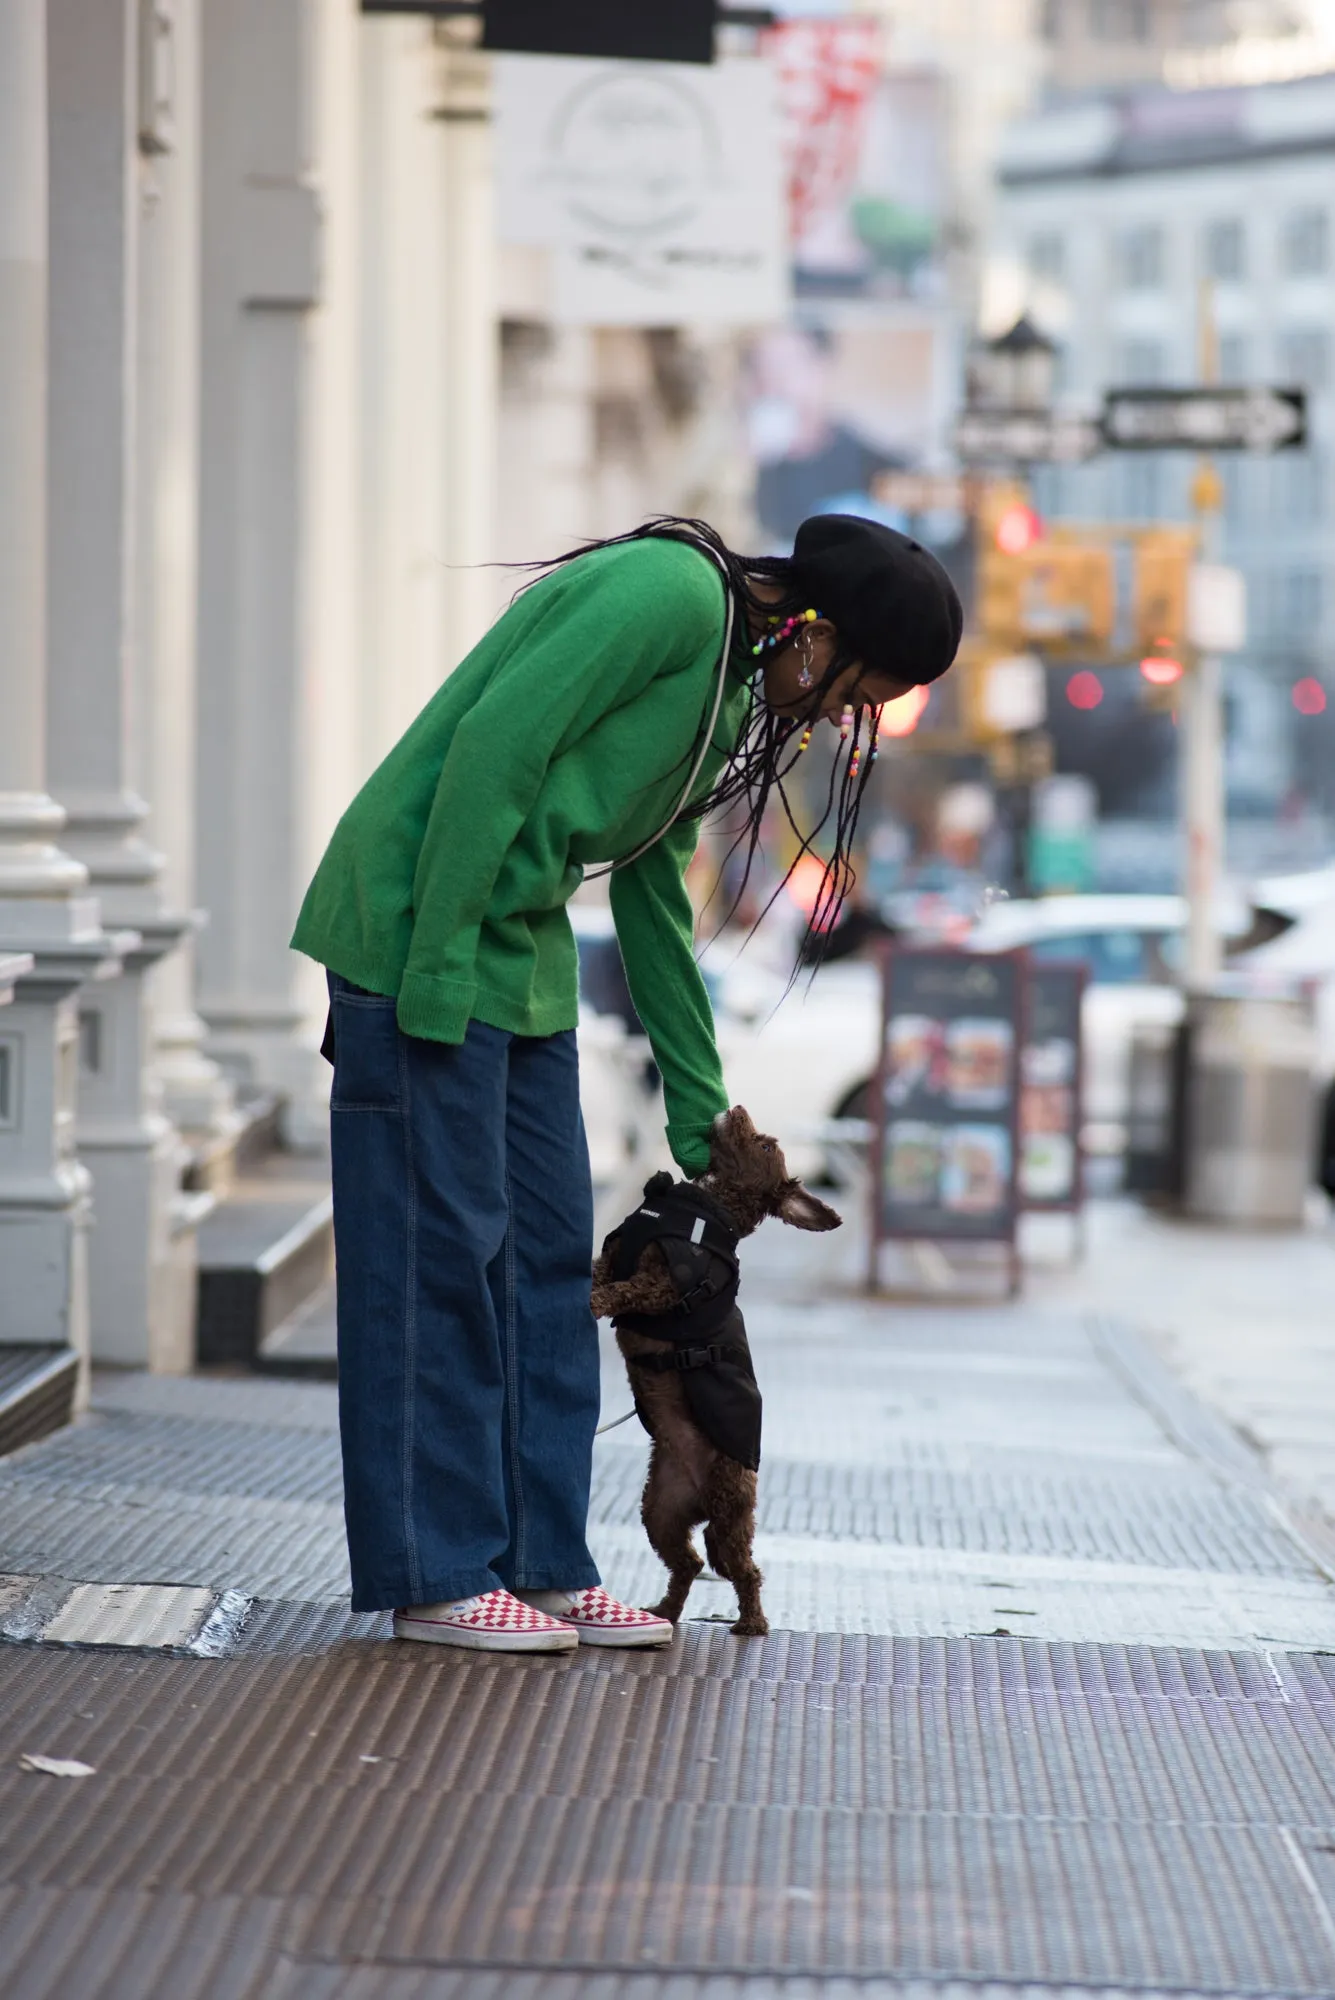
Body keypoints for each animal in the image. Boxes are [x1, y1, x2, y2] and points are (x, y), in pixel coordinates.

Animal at [591, 1112, 839, 1640]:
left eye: (765, 1147)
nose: (735, 1108)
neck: (708, 1207)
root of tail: (698, 1499)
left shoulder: (663, 1286)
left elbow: (624, 1290)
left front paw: (595, 1301)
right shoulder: (615, 1255)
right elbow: (601, 1270)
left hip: (728, 1517)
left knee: (743, 1570)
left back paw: (752, 1622)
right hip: (659, 1513)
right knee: (686, 1563)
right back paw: (664, 1611)